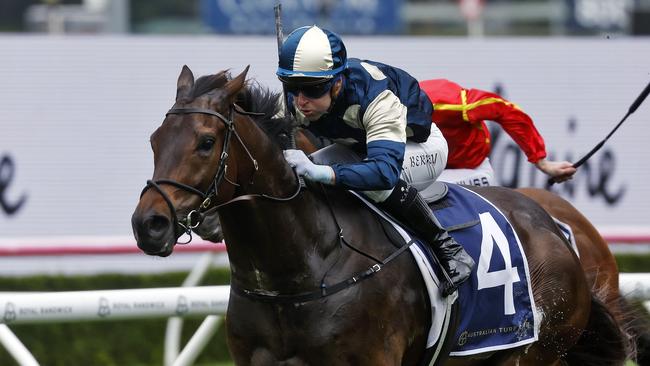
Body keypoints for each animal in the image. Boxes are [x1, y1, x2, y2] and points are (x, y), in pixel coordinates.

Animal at [129, 66, 632, 366]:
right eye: (154, 139)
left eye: (205, 142)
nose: (148, 224)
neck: (300, 270)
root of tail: (554, 230)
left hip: (531, 352)